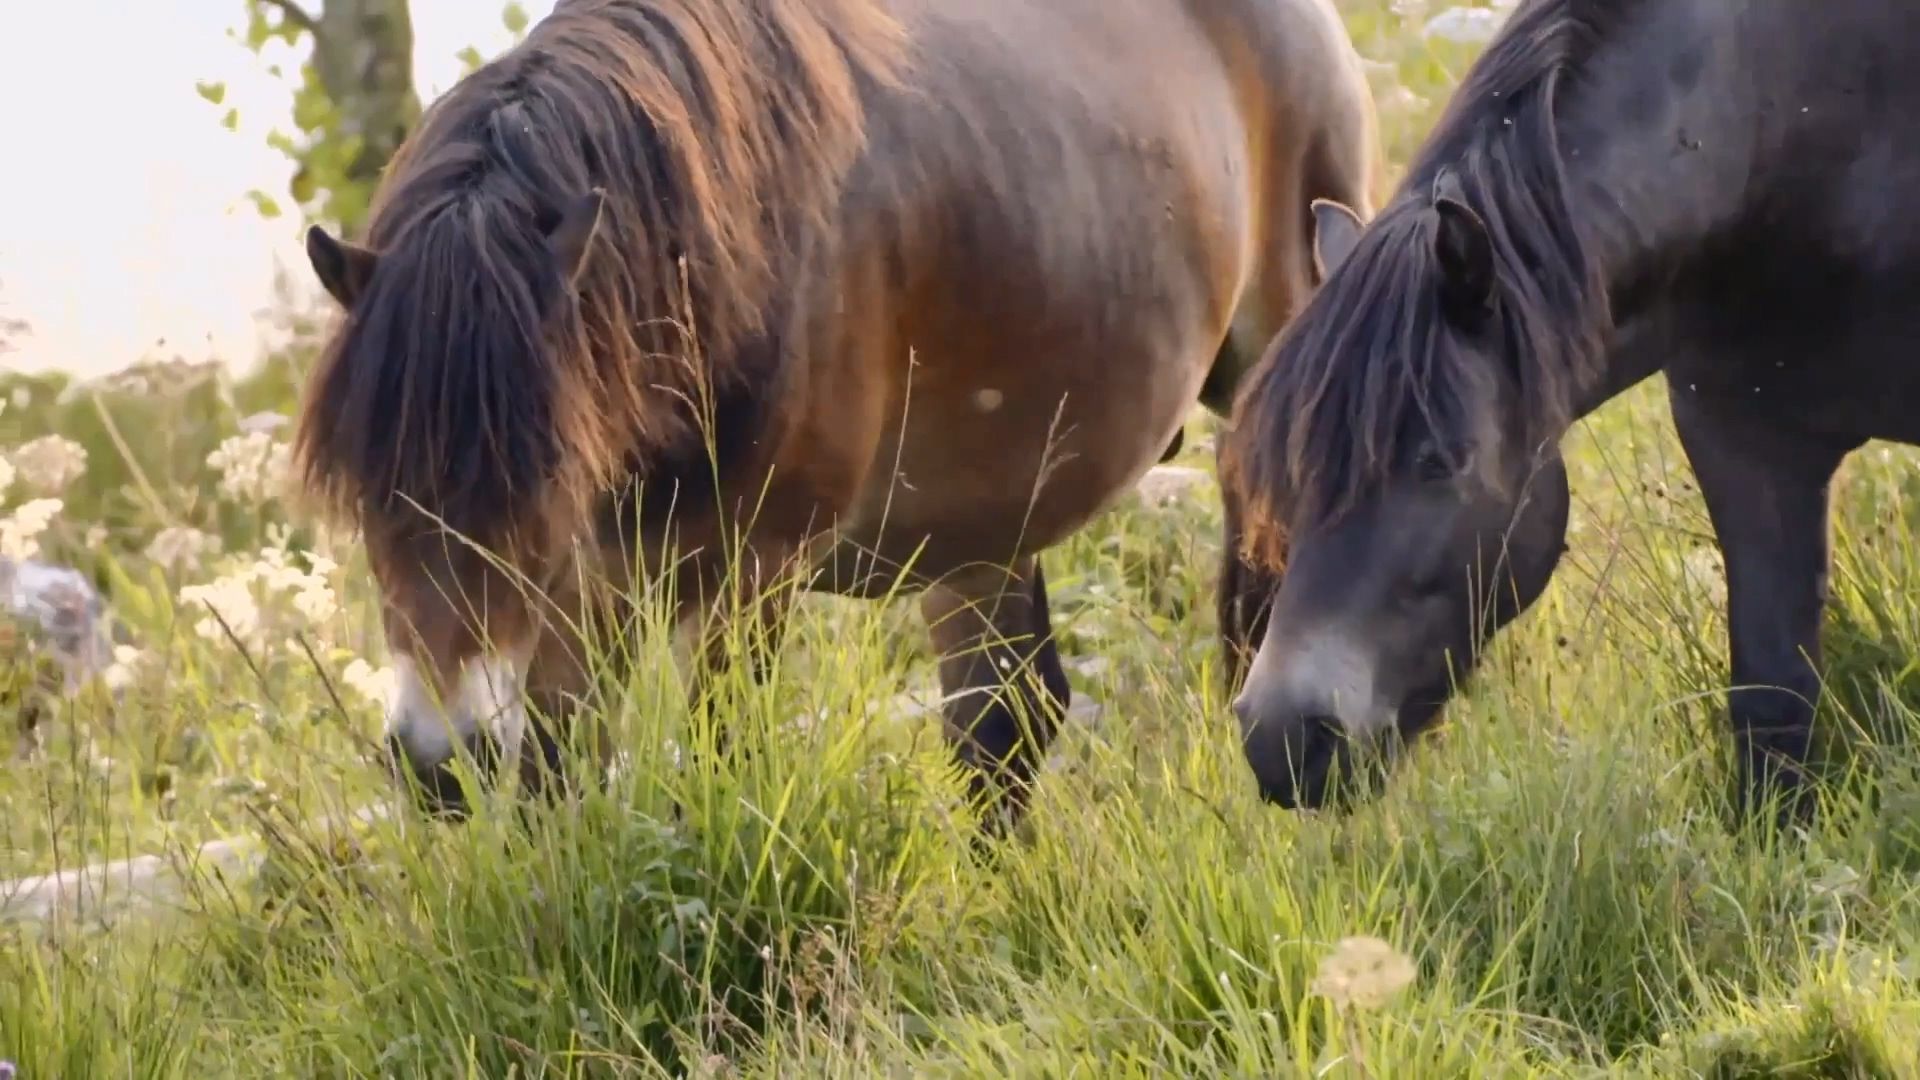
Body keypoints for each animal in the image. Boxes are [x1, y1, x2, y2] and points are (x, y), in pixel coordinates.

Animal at [295, 0, 1382, 826]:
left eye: (542, 475)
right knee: (1004, 721)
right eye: (364, 493)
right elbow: (556, 774)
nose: (437, 763)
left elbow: (721, 757)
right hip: (985, 517)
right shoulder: (588, 587)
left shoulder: (751, 570)